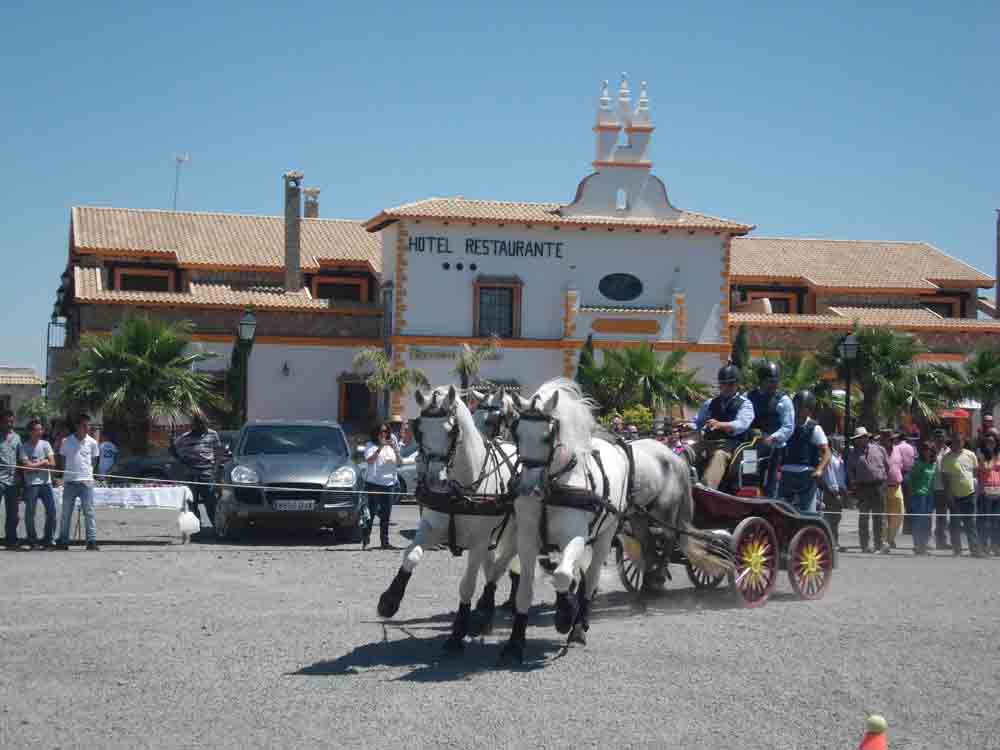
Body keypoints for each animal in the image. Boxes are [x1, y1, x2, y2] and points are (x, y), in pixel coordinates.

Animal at [374, 388, 516, 652]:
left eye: (452, 431)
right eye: (419, 429)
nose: (433, 480)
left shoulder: (479, 542)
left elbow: (467, 584)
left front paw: (457, 633)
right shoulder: (432, 527)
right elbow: (411, 555)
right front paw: (390, 599)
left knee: (500, 568)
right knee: (492, 567)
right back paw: (485, 615)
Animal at [498, 378, 728, 668]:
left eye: (548, 436)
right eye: (517, 433)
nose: (528, 488)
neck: (555, 484)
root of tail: (676, 457)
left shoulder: (576, 537)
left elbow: (563, 575)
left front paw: (566, 614)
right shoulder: (528, 538)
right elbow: (526, 587)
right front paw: (515, 642)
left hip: (639, 522)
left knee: (628, 559)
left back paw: (582, 625)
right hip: (638, 518)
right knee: (647, 547)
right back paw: (647, 585)